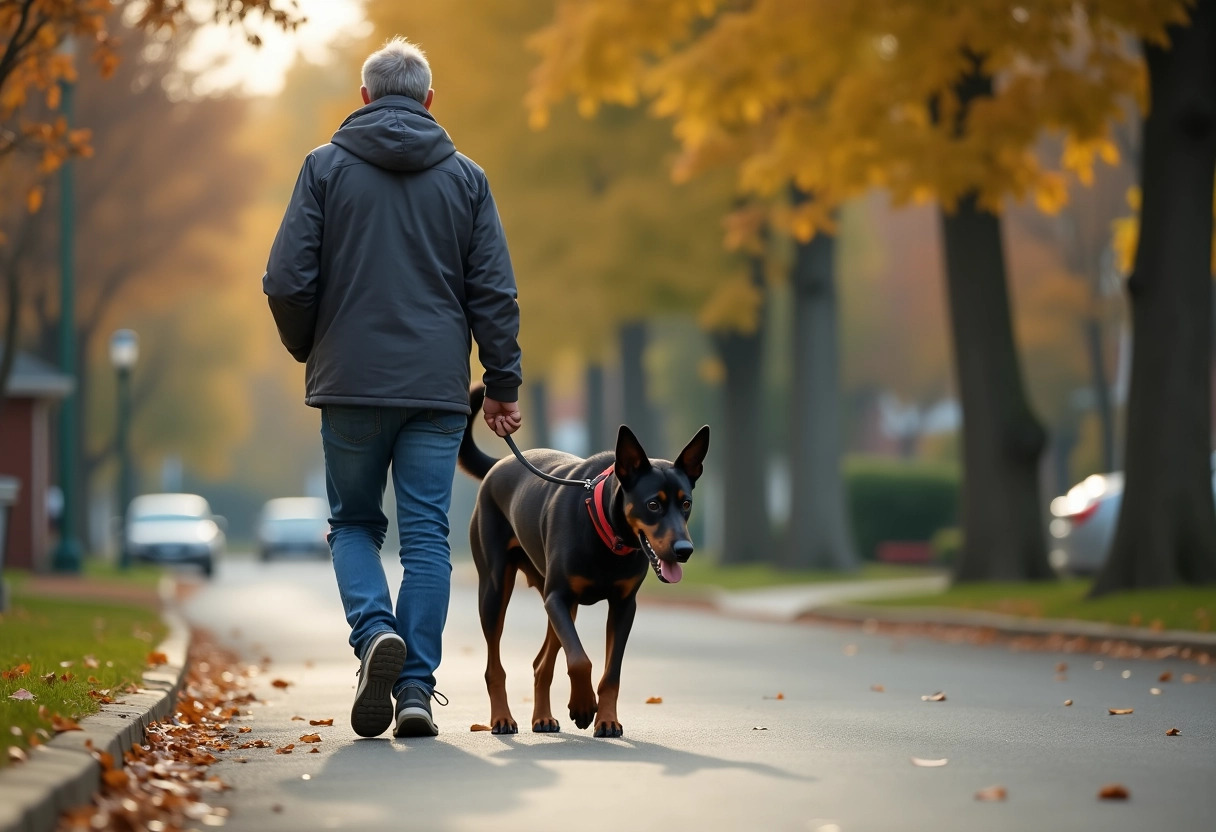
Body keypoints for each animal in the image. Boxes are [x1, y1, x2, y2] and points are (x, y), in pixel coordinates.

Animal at [457, 384, 710, 734]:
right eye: (653, 505)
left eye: (686, 504)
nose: (685, 550)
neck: (608, 536)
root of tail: (501, 462)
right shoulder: (558, 597)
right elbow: (580, 659)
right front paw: (582, 707)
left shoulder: (623, 605)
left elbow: (611, 673)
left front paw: (606, 719)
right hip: (496, 590)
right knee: (495, 665)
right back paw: (502, 718)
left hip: (558, 600)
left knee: (541, 663)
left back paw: (543, 717)